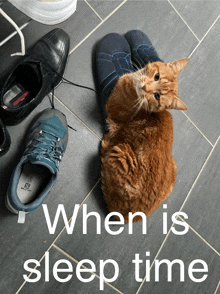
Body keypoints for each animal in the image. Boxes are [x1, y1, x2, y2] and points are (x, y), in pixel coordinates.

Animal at [100, 58, 188, 223]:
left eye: (157, 96)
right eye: (156, 76)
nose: (144, 87)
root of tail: (129, 218)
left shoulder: (110, 108)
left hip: (120, 152)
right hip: (174, 167)